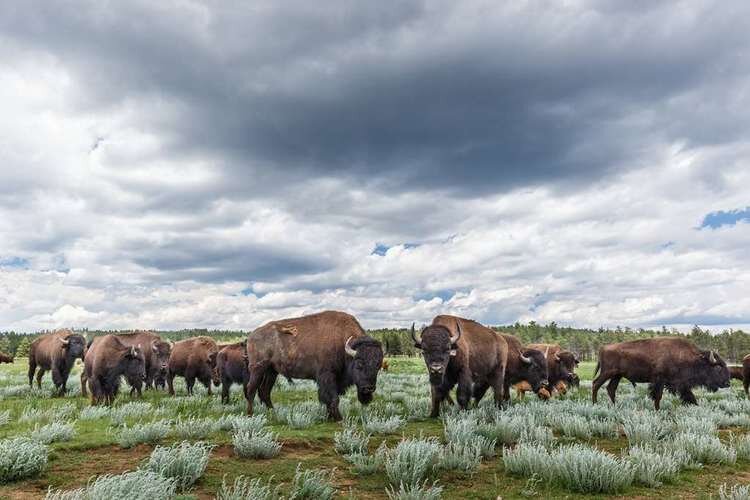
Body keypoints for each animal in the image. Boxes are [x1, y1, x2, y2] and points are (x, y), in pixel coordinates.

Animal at [247, 310, 384, 420]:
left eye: (378, 366)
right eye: (359, 364)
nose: (369, 388)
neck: (342, 343)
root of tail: (251, 335)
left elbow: (329, 399)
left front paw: (330, 417)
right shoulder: (327, 376)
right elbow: (333, 398)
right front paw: (338, 418)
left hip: (271, 371)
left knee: (264, 391)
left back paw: (273, 412)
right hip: (258, 368)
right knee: (251, 389)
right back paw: (250, 414)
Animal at [592, 336, 728, 410]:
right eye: (718, 367)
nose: (727, 383)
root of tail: (603, 348)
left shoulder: (681, 384)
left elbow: (689, 396)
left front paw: (696, 406)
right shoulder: (659, 381)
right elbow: (658, 396)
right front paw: (657, 410)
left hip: (617, 376)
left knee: (611, 389)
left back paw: (615, 405)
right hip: (607, 373)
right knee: (596, 384)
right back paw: (595, 404)